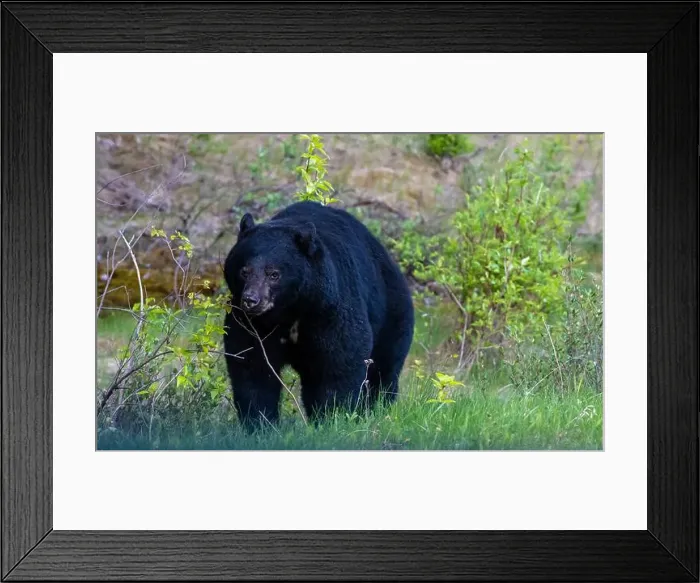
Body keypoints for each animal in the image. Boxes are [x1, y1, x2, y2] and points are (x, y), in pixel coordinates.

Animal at [222, 200, 414, 429]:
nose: (251, 300)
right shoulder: (249, 323)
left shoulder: (328, 311)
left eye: (274, 274)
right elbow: (252, 364)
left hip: (392, 315)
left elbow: (340, 361)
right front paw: (259, 422)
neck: (289, 311)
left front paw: (334, 417)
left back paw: (375, 410)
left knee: (383, 370)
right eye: (244, 271)